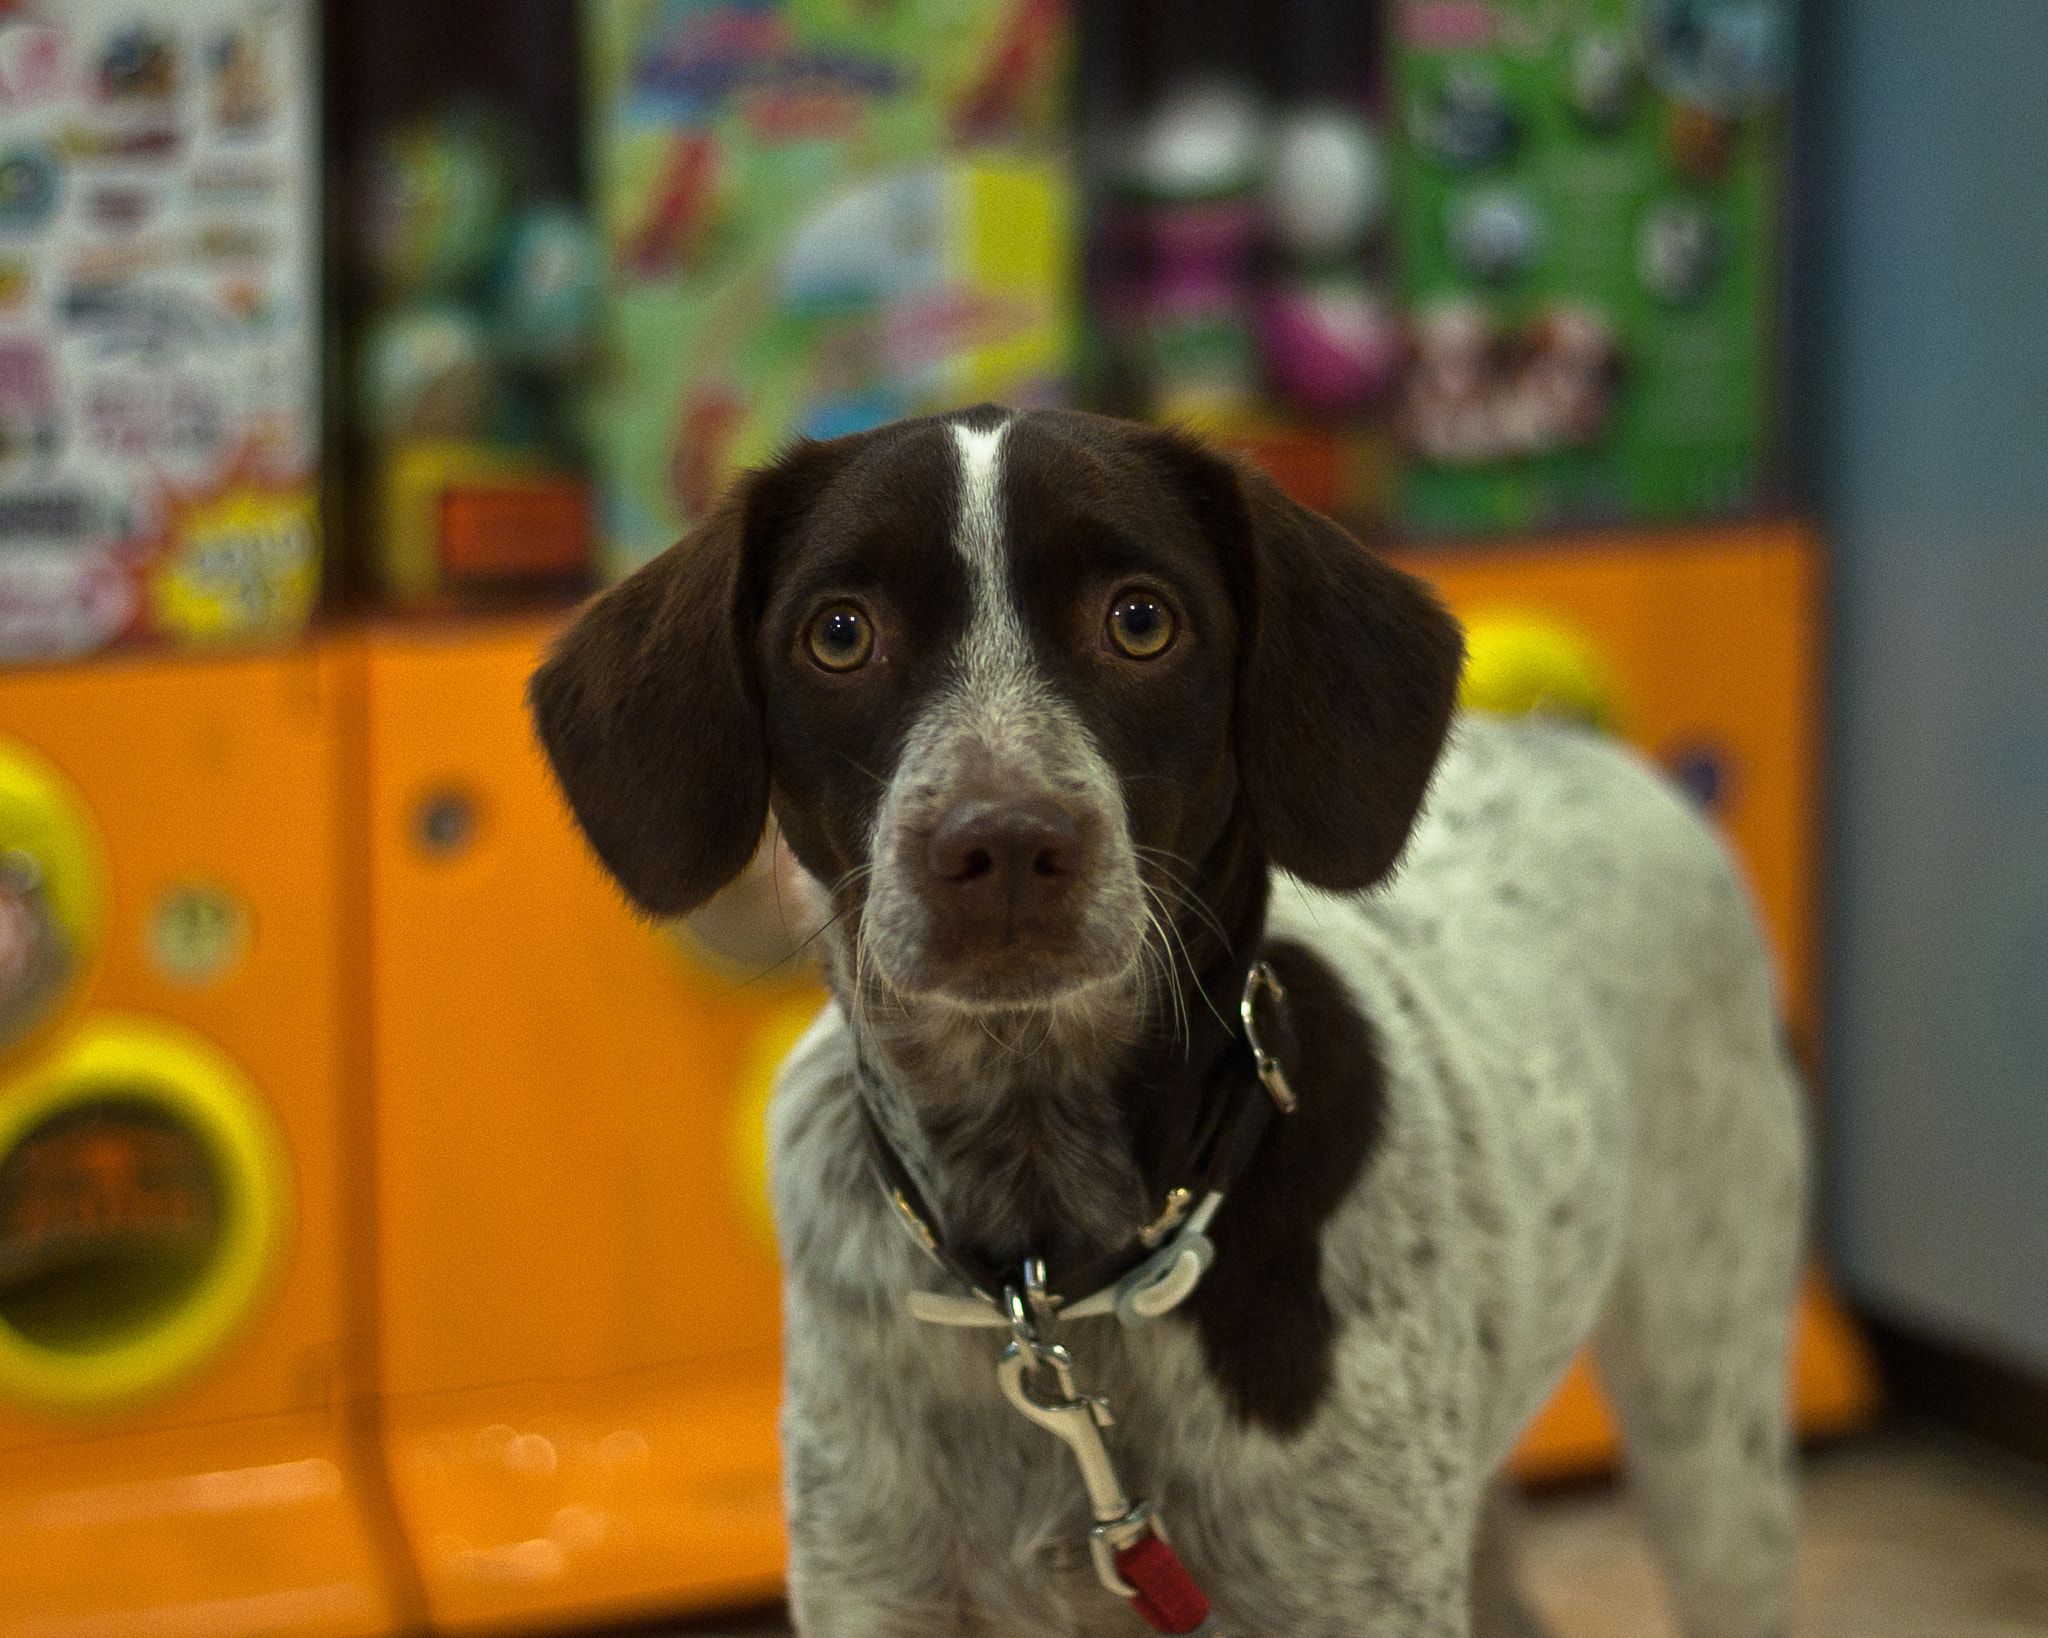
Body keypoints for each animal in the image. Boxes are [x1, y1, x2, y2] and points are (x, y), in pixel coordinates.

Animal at [532, 405, 1810, 1637]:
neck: (1049, 1272)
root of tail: (1572, 741)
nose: (1002, 845)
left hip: (1712, 1456)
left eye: (1140, 621)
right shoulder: (876, 1597)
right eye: (838, 634)